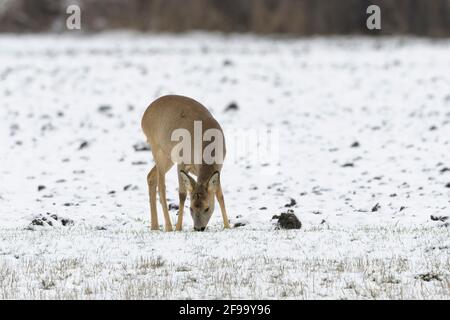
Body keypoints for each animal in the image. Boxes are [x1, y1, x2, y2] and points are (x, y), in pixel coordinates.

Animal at [142, 94, 232, 231]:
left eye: (207, 208)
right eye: (191, 208)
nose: (198, 228)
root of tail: (144, 116)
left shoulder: (218, 168)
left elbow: (219, 195)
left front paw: (227, 226)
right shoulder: (181, 161)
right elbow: (182, 194)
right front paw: (178, 227)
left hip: (168, 157)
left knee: (150, 177)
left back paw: (154, 226)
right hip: (157, 150)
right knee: (161, 188)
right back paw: (168, 227)